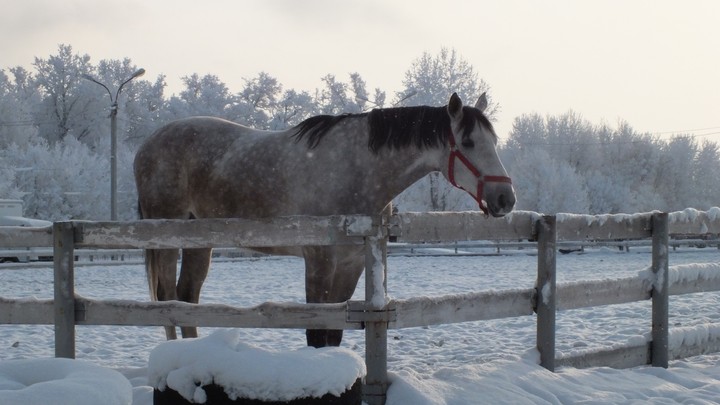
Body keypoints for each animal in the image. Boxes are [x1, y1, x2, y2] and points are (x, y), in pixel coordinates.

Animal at [134, 92, 515, 347]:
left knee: (187, 298)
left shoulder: (351, 264)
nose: (505, 199)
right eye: (468, 141)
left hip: (201, 240)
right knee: (166, 299)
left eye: (494, 140)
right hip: (166, 236)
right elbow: (316, 332)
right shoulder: (319, 260)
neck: (356, 169)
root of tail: (148, 144)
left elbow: (333, 334)